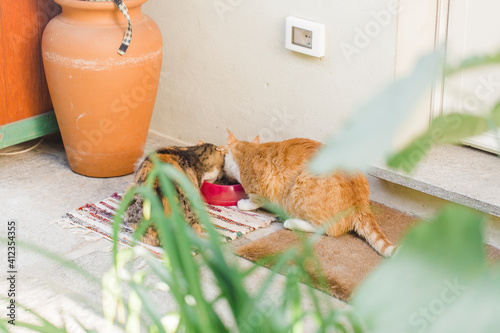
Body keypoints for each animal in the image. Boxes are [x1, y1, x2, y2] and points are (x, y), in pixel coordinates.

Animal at [225, 130, 396, 254]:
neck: (248, 152)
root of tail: (361, 202)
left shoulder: (263, 187)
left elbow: (253, 201)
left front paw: (243, 203)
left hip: (302, 185)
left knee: (325, 228)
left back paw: (291, 222)